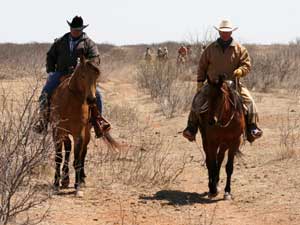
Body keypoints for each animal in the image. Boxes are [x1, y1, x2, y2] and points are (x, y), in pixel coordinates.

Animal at [49, 55, 116, 197]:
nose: (91, 100)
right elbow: (58, 157)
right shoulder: (57, 131)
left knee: (82, 154)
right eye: (83, 75)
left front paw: (77, 186)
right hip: (65, 133)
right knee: (68, 148)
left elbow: (77, 159)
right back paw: (65, 178)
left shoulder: (78, 134)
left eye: (97, 75)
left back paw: (81, 179)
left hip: (87, 133)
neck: (69, 102)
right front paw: (56, 184)